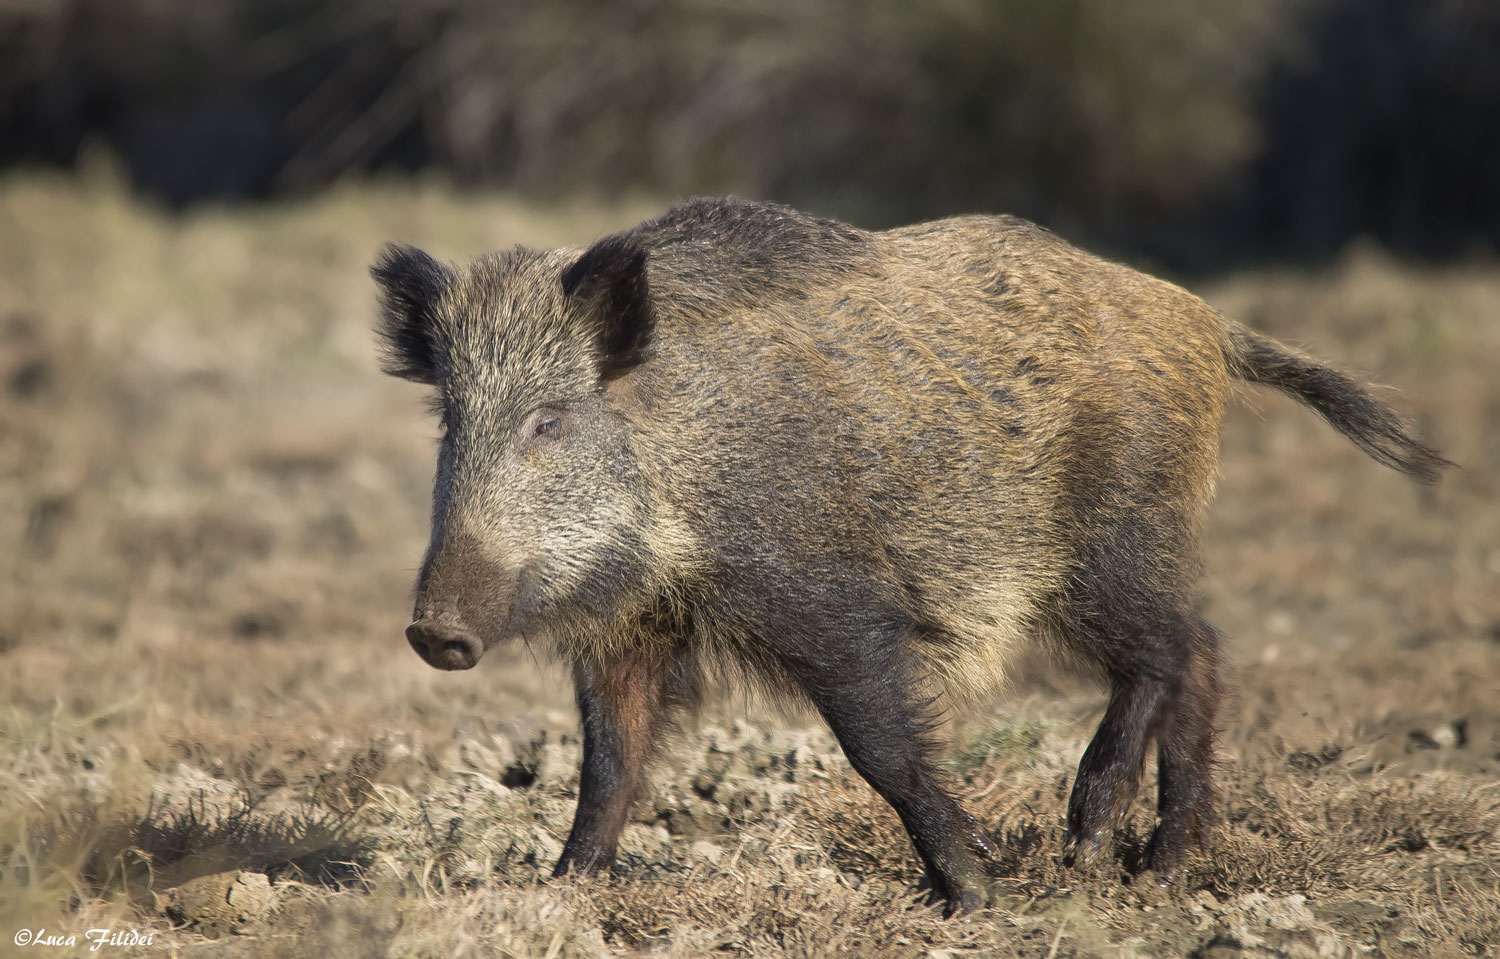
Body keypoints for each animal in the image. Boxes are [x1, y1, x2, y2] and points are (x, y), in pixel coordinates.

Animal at [372, 197, 1448, 915]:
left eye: (548, 420)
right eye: (450, 421)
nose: (434, 632)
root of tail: (1209, 324)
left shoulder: (831, 599)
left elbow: (878, 744)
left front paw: (973, 886)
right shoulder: (630, 627)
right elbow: (609, 760)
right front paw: (563, 892)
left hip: (1111, 539)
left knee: (1172, 650)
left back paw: (1088, 846)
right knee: (1205, 647)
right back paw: (1158, 867)